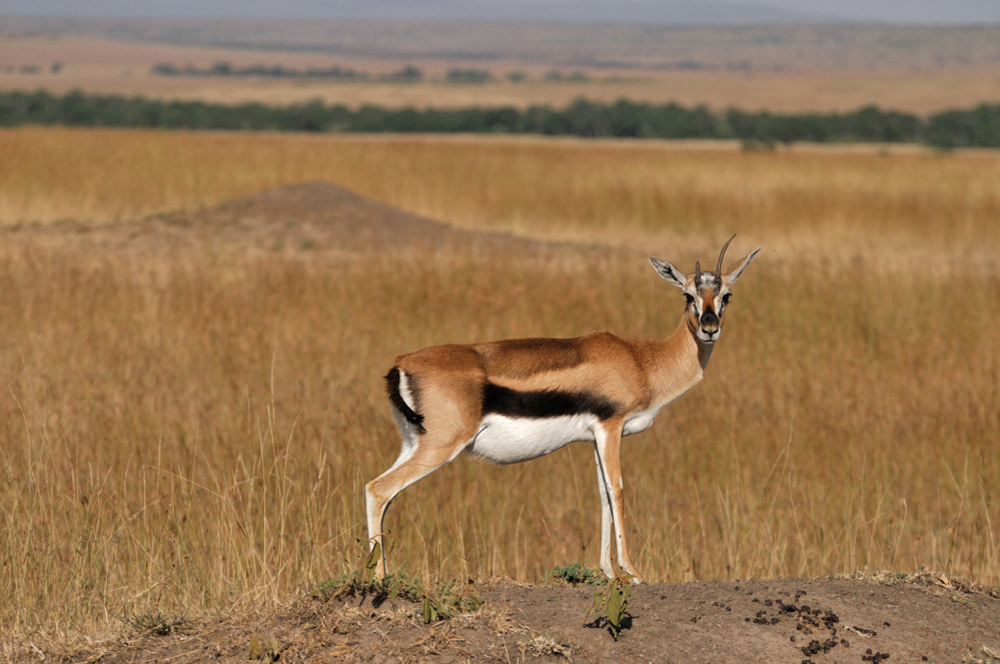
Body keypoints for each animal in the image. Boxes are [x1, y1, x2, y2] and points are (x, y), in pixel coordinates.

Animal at [365, 236, 760, 584]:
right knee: (378, 489)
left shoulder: (595, 437)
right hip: (441, 446)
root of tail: (401, 364)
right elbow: (617, 489)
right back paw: (379, 580)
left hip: (413, 444)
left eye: (726, 295)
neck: (642, 360)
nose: (709, 328)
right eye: (687, 294)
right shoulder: (611, 427)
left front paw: (608, 572)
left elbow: (602, 494)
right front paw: (633, 572)